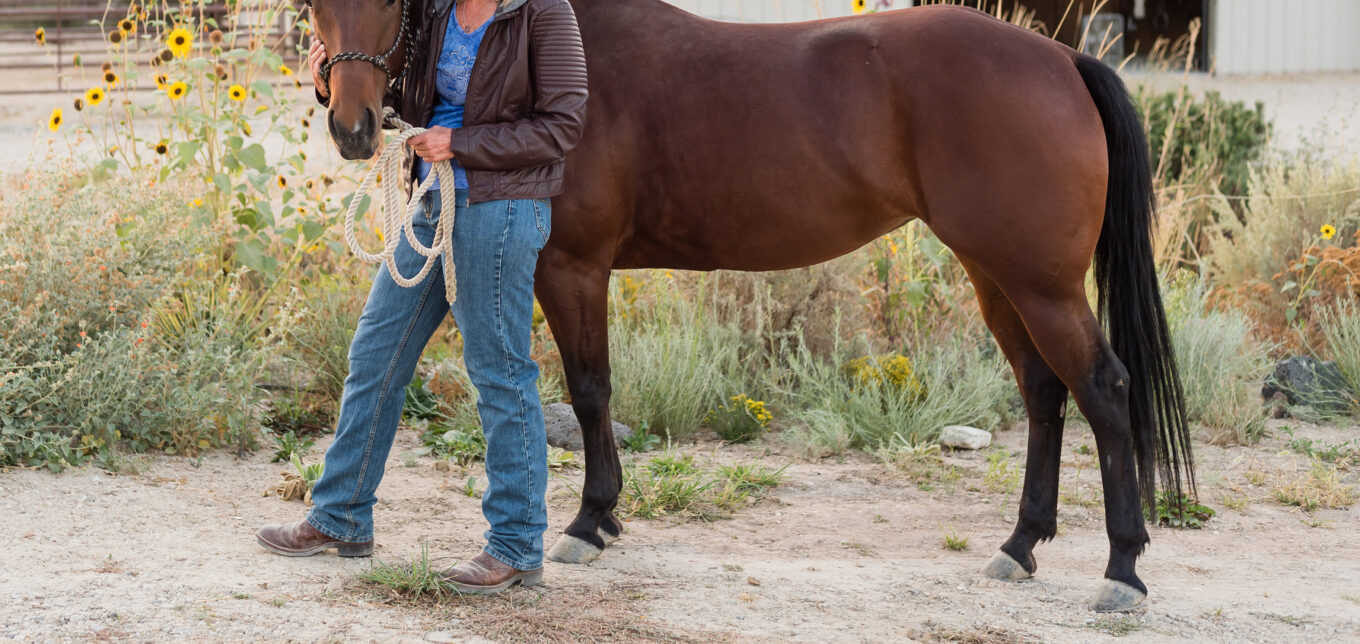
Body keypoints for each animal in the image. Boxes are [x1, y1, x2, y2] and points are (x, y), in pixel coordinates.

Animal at [309, 0, 1196, 612]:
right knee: (1045, 393)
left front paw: (589, 523)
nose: (354, 128)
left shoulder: (571, 268)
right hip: (995, 274)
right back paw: (1020, 546)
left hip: (1040, 284)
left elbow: (591, 392)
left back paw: (1122, 569)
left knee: (1104, 389)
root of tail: (1064, 59)